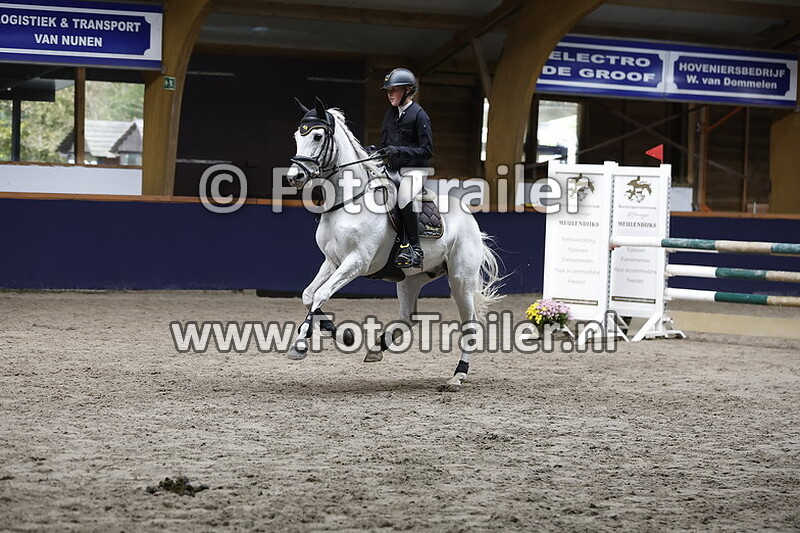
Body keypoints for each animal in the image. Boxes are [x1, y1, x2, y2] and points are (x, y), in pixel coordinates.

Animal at [287, 98, 503, 389]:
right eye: (298, 136)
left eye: (318, 136)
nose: (294, 177)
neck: (348, 200)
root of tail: (470, 219)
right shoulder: (332, 261)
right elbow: (309, 295)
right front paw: (341, 335)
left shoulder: (356, 261)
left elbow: (320, 294)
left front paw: (300, 346)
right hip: (411, 279)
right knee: (408, 317)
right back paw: (377, 348)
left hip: (461, 279)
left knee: (470, 323)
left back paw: (458, 375)